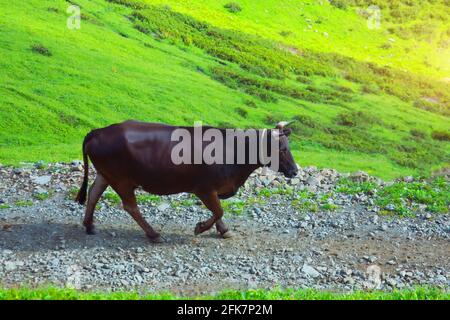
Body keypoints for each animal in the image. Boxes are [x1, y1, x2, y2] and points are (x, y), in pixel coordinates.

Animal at [75, 120, 298, 242]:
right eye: (282, 149)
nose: (295, 171)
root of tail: (98, 131)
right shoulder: (204, 188)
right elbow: (218, 210)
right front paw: (201, 228)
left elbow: (218, 211)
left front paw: (224, 230)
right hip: (121, 179)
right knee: (130, 207)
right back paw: (153, 234)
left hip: (106, 174)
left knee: (93, 193)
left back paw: (89, 225)